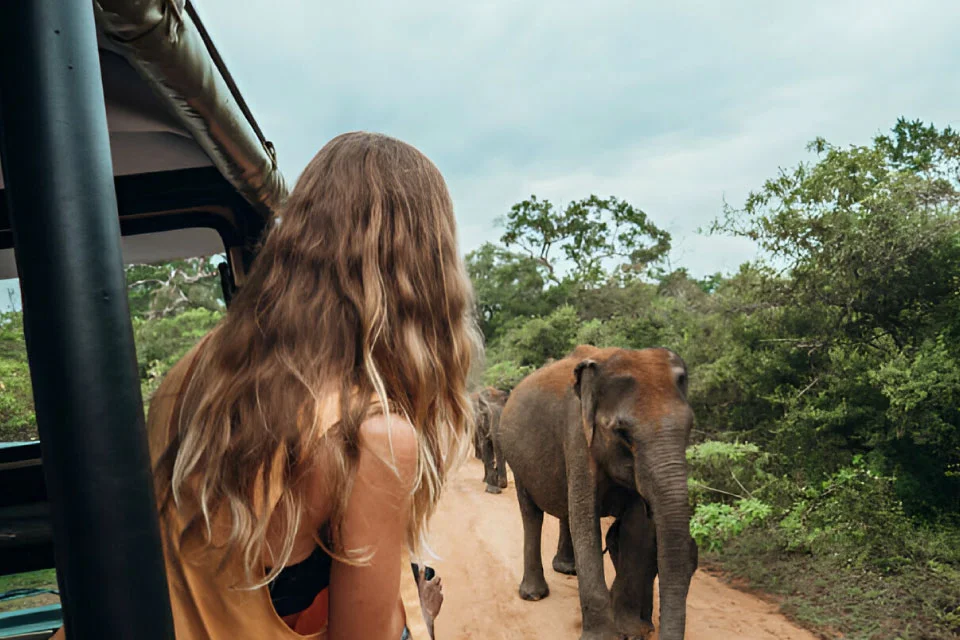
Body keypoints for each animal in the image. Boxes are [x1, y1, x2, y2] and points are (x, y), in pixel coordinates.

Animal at [498, 348, 692, 636]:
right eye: (622, 433)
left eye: (690, 427)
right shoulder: (577, 435)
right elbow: (585, 520)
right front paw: (605, 636)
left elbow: (636, 527)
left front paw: (631, 631)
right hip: (517, 460)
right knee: (531, 514)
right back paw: (533, 594)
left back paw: (567, 569)